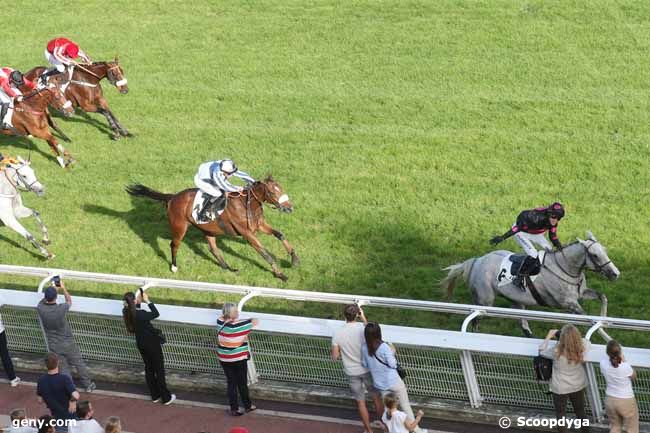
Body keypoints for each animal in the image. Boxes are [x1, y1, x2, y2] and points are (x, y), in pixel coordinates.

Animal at [124, 176, 298, 280]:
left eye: (281, 188)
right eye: (272, 192)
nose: (289, 208)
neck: (247, 204)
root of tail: (172, 197)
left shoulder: (259, 226)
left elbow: (280, 234)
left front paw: (294, 259)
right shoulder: (247, 233)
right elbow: (264, 253)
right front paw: (280, 274)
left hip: (208, 230)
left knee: (213, 248)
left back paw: (228, 267)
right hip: (180, 227)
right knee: (174, 245)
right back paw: (174, 266)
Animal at [440, 231, 616, 336]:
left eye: (605, 251)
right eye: (595, 255)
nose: (615, 273)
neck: (566, 267)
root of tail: (477, 260)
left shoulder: (581, 294)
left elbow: (603, 297)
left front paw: (604, 319)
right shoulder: (568, 303)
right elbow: (588, 319)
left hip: (516, 301)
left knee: (523, 325)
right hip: (485, 301)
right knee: (476, 321)